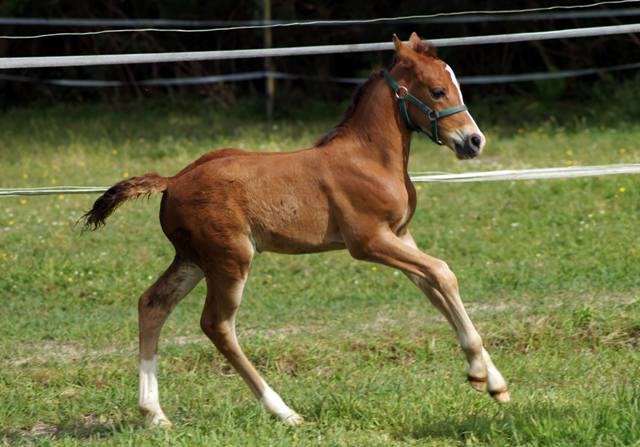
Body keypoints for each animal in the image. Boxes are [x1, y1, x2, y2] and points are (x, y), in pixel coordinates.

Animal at [84, 32, 510, 428]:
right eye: (437, 91)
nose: (474, 141)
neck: (368, 157)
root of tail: (172, 181)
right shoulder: (369, 241)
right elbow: (442, 272)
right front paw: (478, 371)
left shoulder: (400, 234)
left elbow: (435, 290)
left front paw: (494, 382)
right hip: (230, 259)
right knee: (216, 325)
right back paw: (283, 411)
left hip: (192, 258)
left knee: (153, 304)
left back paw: (154, 413)